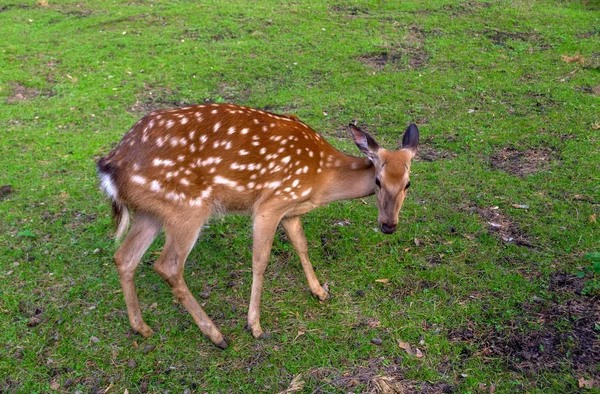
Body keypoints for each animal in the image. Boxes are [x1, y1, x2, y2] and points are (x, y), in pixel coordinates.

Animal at [96, 103, 420, 350]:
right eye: (378, 181)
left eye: (408, 183)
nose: (389, 225)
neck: (321, 179)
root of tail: (110, 165)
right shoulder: (270, 204)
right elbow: (260, 260)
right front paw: (255, 325)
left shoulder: (290, 209)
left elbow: (302, 245)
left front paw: (319, 291)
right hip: (187, 208)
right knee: (167, 265)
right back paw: (216, 335)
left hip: (151, 213)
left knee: (124, 257)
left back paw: (142, 328)